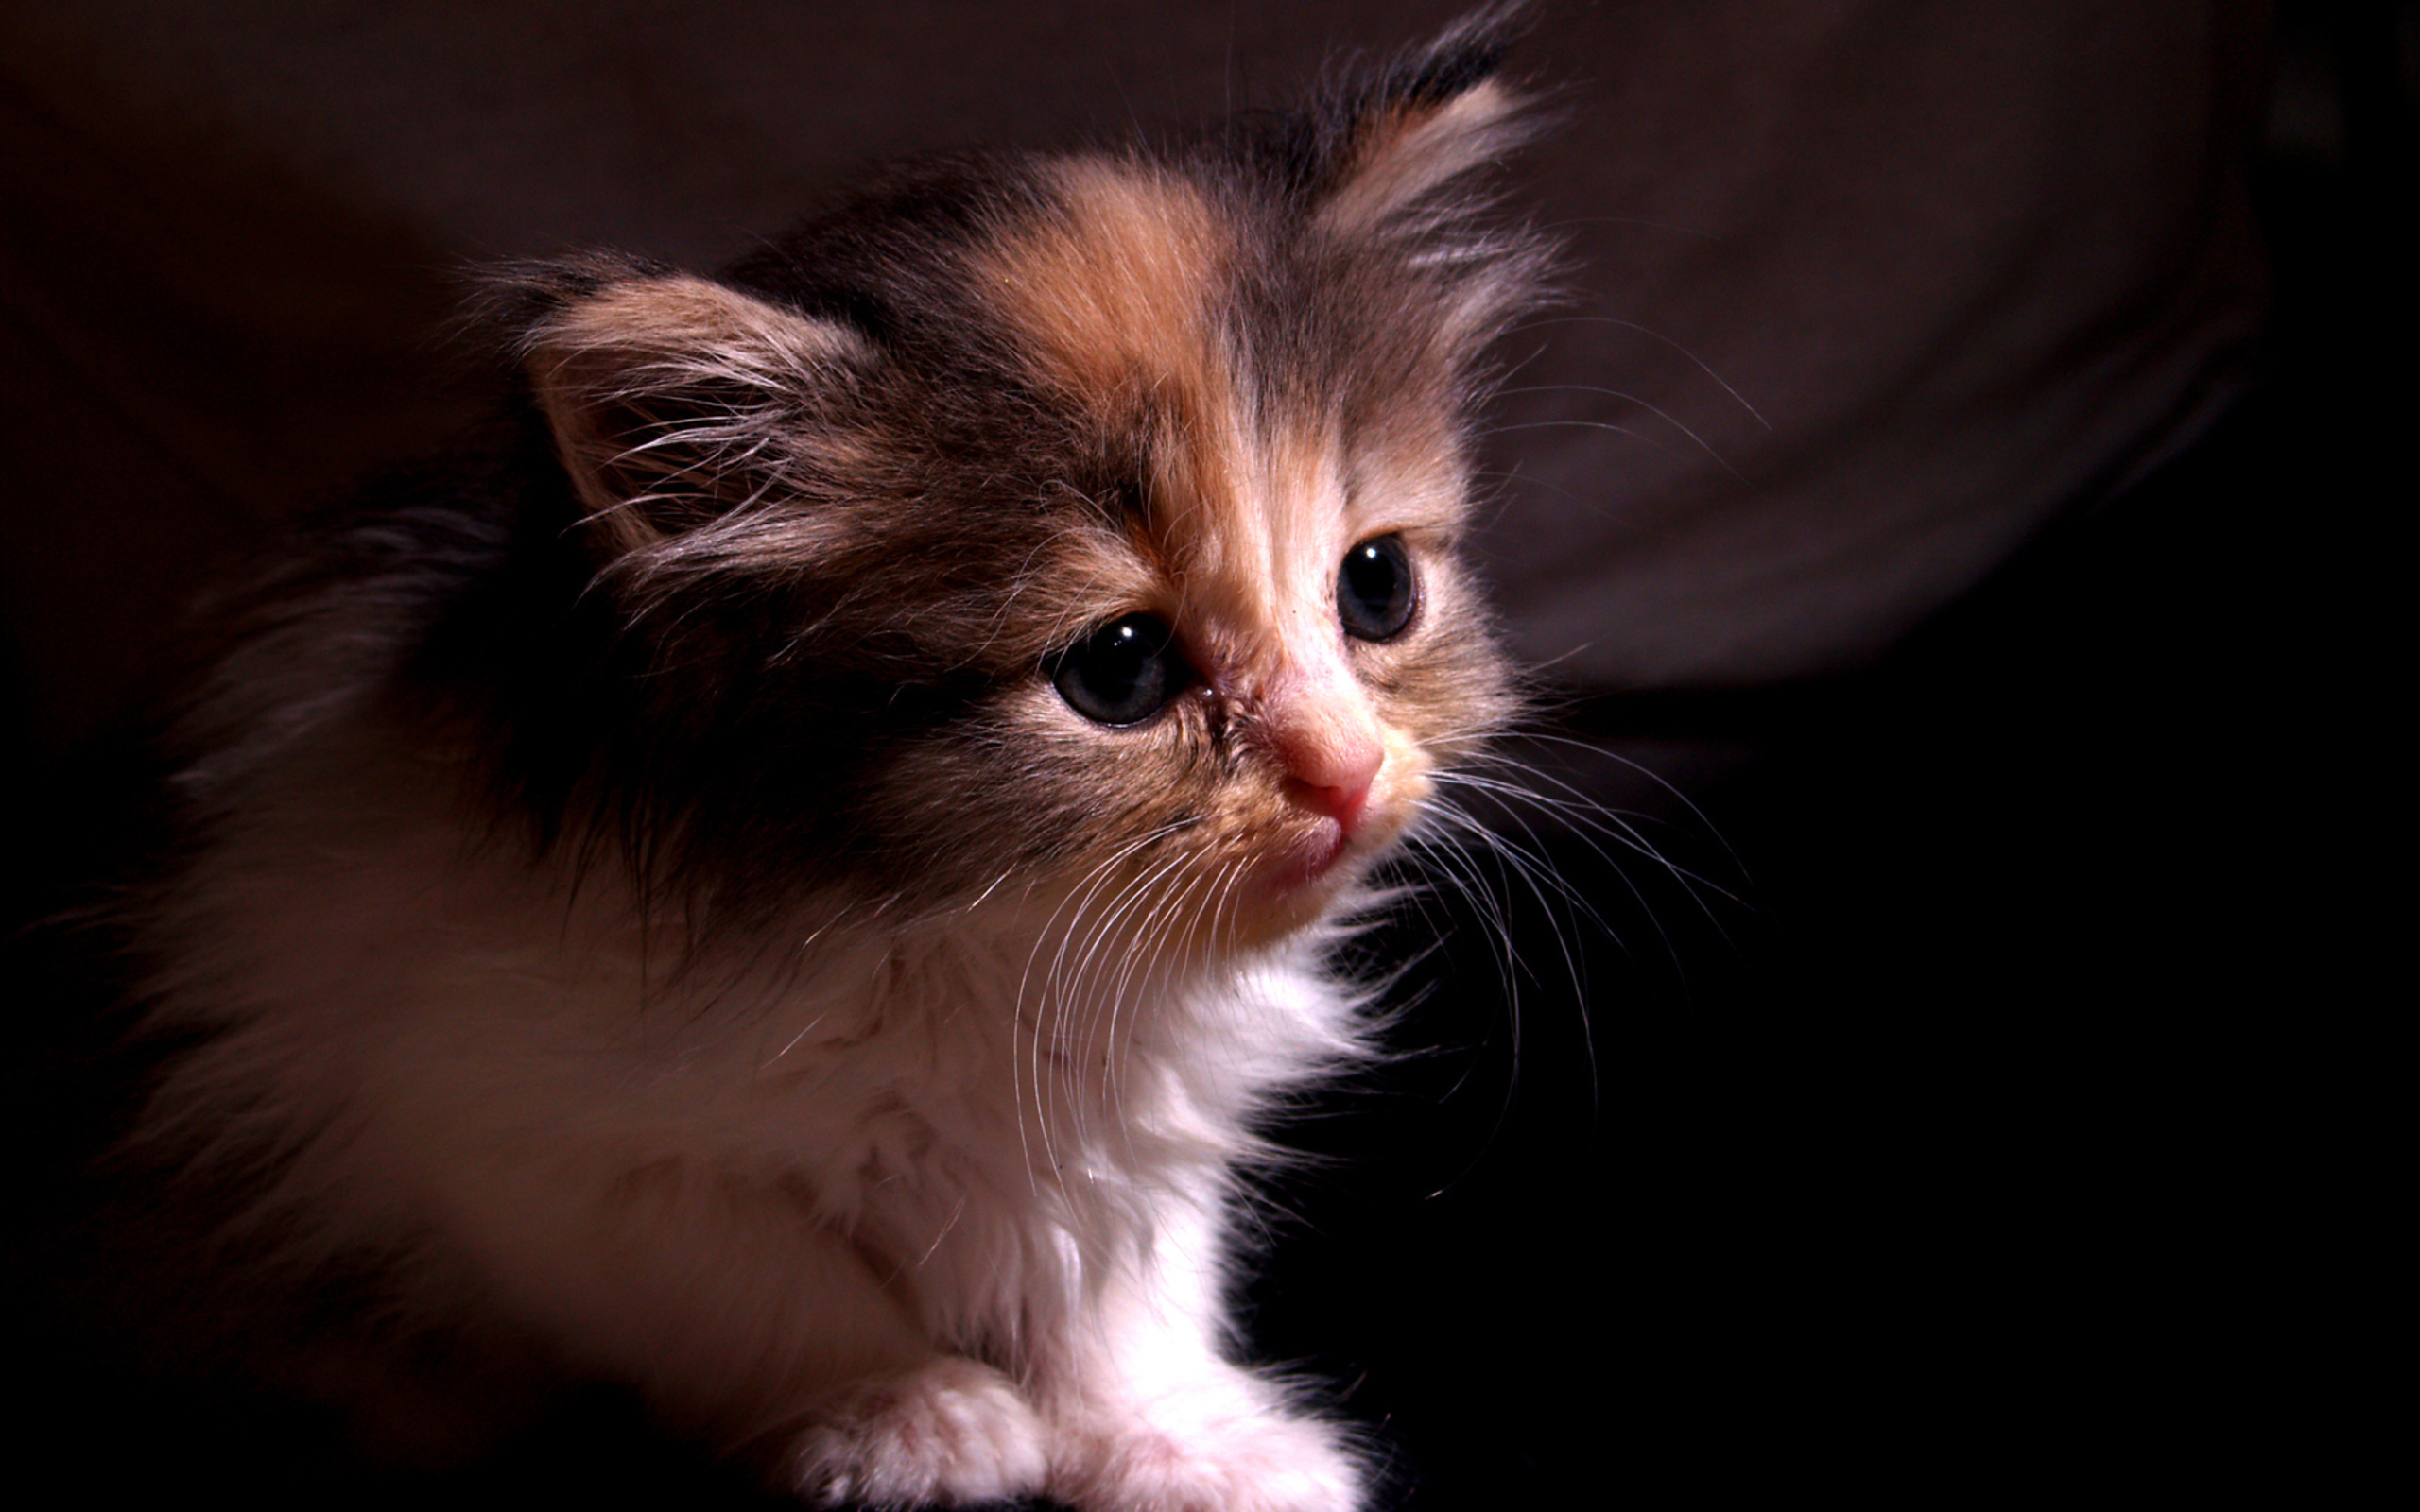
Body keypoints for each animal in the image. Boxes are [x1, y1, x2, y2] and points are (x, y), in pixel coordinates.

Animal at [98, 11, 1548, 1509]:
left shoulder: (1138, 1137)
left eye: (1375, 588)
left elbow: (1124, 1292)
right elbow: (760, 1281)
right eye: (1120, 669)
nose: (1344, 772)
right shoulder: (512, 1140)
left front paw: (1181, 1438)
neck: (975, 945)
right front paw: (908, 1415)